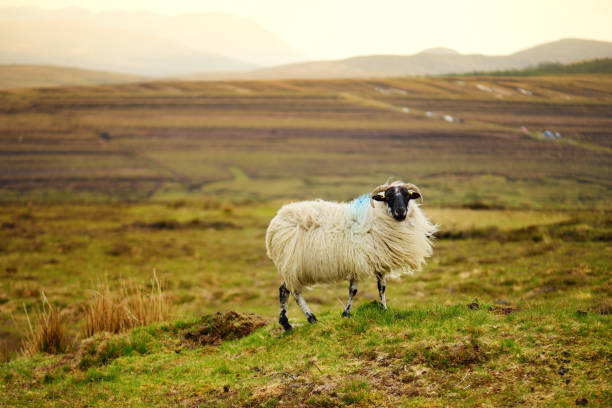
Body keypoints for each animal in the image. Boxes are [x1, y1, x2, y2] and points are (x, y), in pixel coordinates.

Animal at [266, 180, 436, 330]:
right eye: (388, 197)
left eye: (407, 196)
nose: (400, 212)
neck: (376, 221)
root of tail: (275, 223)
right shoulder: (357, 262)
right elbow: (353, 290)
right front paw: (346, 314)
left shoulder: (379, 262)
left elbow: (381, 287)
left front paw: (384, 309)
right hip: (291, 264)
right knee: (294, 292)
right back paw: (310, 318)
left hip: (290, 267)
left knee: (284, 290)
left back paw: (287, 324)